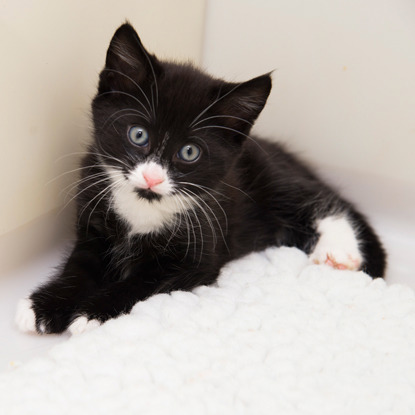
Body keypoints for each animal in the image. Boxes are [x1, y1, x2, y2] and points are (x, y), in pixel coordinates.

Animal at [16, 22, 386, 334]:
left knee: (320, 199)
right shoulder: (92, 220)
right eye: (138, 134)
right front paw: (45, 307)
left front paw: (91, 312)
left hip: (270, 177)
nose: (152, 177)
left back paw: (338, 251)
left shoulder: (196, 256)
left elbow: (140, 283)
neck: (143, 206)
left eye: (189, 152)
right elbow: (79, 267)